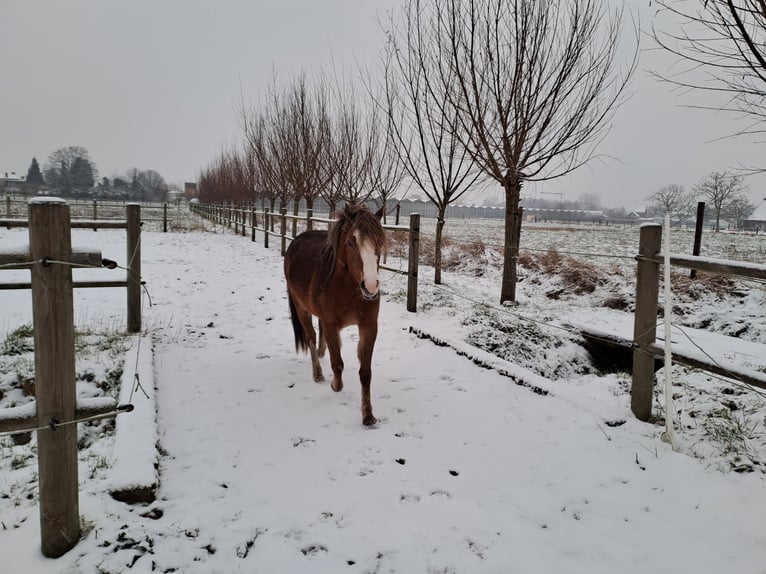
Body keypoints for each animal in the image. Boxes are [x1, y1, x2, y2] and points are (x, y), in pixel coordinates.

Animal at [284, 205, 388, 426]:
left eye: (379, 241)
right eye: (351, 242)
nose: (371, 286)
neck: (347, 288)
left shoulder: (369, 326)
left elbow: (365, 373)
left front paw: (368, 414)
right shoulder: (332, 325)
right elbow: (338, 364)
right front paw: (334, 384)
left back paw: (322, 353)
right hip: (301, 308)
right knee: (310, 337)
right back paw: (318, 374)